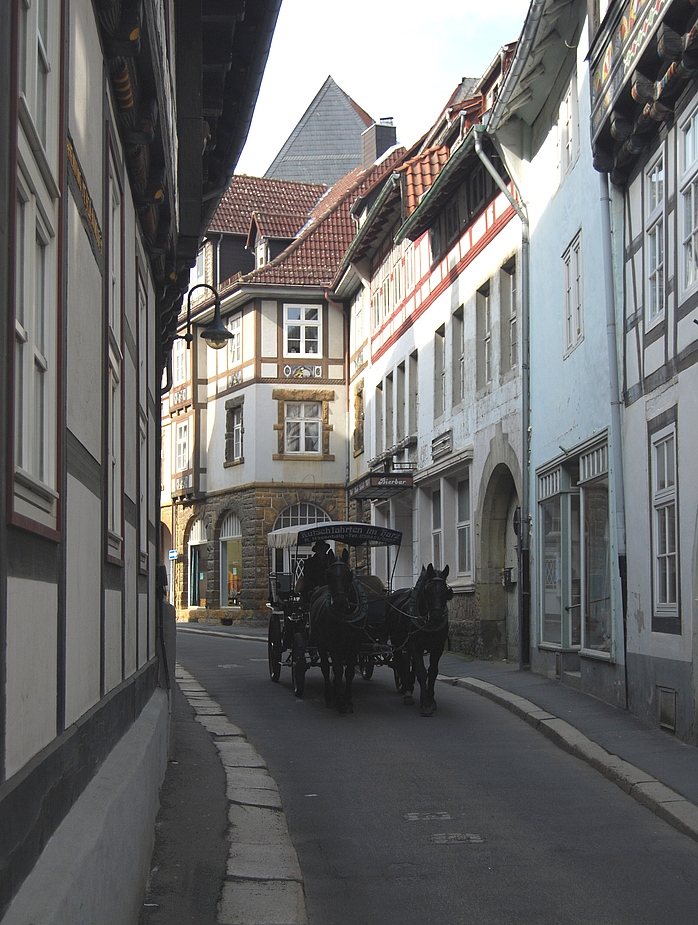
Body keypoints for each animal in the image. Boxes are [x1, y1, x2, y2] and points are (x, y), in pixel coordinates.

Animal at [308, 548, 364, 716]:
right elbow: (338, 669)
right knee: (326, 668)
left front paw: (348, 700)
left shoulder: (354, 644)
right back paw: (329, 695)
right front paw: (340, 702)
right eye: (329, 574)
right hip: (321, 643)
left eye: (349, 574)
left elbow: (349, 671)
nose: (340, 602)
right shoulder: (333, 644)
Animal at [386, 564, 452, 716]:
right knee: (400, 662)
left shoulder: (438, 647)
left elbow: (432, 671)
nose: (436, 618)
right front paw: (425, 704)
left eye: (446, 591)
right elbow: (422, 672)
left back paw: (410, 685)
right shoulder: (415, 645)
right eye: (428, 590)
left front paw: (431, 700)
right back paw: (407, 690)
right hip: (398, 642)